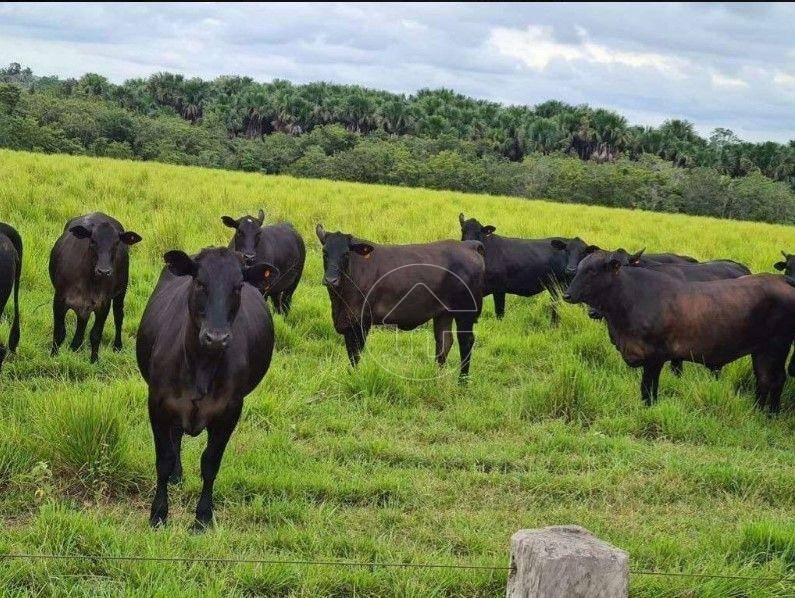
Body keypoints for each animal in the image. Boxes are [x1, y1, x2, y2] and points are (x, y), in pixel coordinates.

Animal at [48, 213, 141, 364]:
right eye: (92, 241)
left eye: (116, 243)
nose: (104, 271)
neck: (89, 281)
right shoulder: (59, 300)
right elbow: (59, 332)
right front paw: (53, 356)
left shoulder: (103, 305)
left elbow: (96, 334)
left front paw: (94, 361)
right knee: (82, 321)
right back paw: (75, 346)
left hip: (121, 292)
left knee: (118, 316)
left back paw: (117, 346)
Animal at [139, 247, 280, 528]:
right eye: (200, 283)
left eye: (238, 287)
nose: (216, 338)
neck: (200, 366)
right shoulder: (158, 404)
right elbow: (163, 460)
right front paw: (158, 513)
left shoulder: (229, 412)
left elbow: (210, 463)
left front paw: (203, 516)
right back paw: (176, 475)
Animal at [318, 225, 486, 380]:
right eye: (324, 252)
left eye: (346, 253)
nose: (331, 280)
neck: (339, 300)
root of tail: (468, 245)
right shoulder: (348, 323)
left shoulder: (360, 323)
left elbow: (356, 356)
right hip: (443, 313)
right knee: (444, 342)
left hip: (465, 312)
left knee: (466, 342)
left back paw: (462, 381)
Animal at [564, 248, 795, 412]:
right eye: (578, 269)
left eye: (592, 271)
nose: (567, 295)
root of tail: (782, 279)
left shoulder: (655, 357)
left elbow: (648, 391)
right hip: (761, 351)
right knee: (763, 379)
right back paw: (757, 410)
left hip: (777, 347)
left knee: (777, 379)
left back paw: (771, 414)